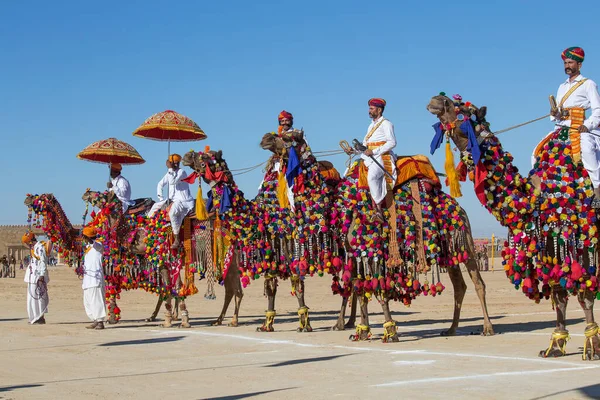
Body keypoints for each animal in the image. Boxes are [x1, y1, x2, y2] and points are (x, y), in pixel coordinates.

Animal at [426, 94, 600, 360]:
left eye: (462, 109)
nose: (437, 100)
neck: (537, 195)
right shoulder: (549, 241)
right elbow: (558, 293)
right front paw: (555, 345)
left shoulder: (579, 237)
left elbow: (585, 293)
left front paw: (591, 346)